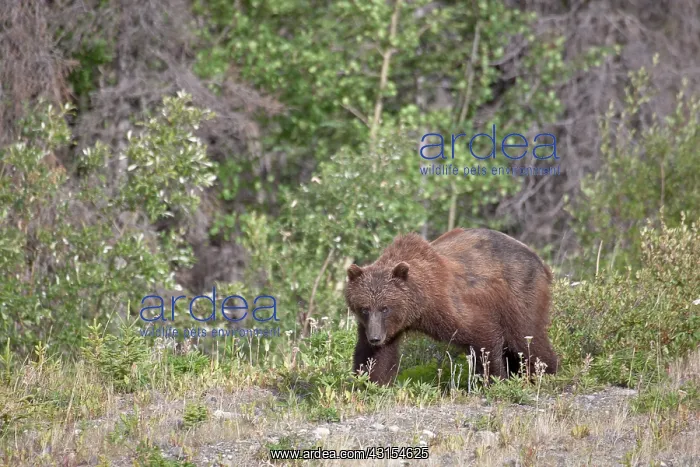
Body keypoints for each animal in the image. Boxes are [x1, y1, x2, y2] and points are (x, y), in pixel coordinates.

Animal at [345, 227, 559, 385]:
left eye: (385, 308)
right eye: (364, 308)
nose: (375, 338)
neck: (420, 304)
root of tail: (539, 259)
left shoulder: (448, 304)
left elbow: (483, 333)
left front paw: (495, 379)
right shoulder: (379, 327)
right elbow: (374, 357)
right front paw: (369, 383)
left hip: (520, 291)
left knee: (525, 336)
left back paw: (545, 372)